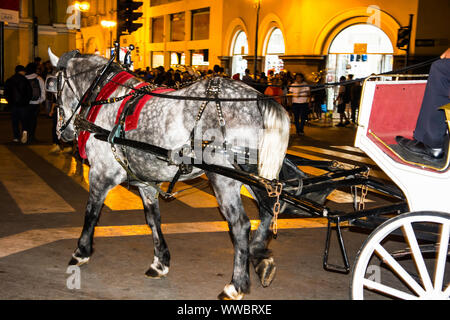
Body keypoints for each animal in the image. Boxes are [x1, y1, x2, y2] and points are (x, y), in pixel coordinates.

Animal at [49, 48, 288, 300]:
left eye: (54, 87)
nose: (62, 132)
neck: (106, 98)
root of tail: (257, 100)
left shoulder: (101, 174)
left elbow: (91, 213)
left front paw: (81, 251)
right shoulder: (145, 182)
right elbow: (153, 219)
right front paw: (160, 261)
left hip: (225, 178)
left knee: (240, 225)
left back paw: (236, 284)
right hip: (255, 175)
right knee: (269, 209)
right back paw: (260, 256)